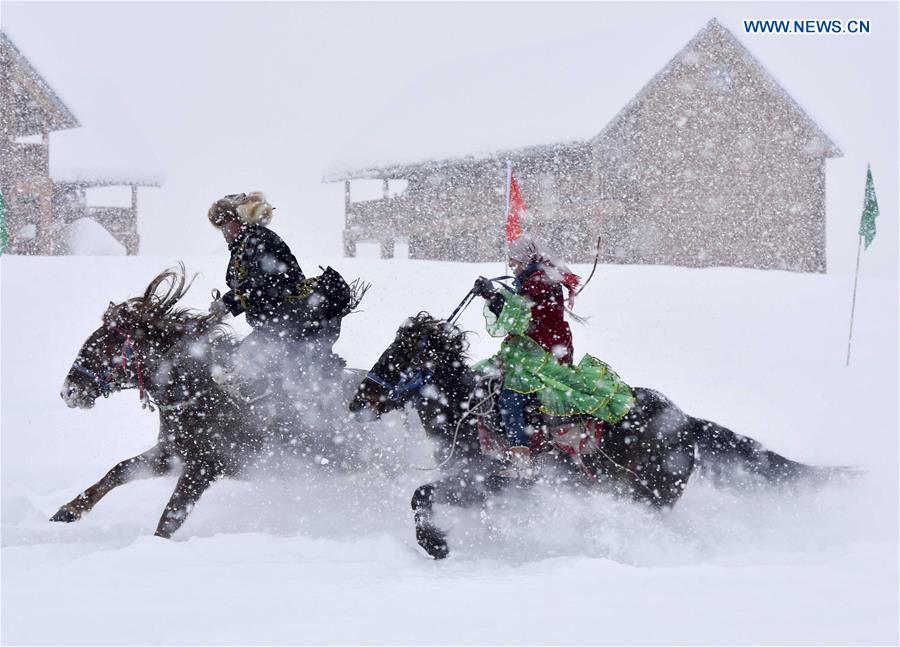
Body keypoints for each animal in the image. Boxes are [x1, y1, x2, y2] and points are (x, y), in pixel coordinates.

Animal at [54, 266, 370, 540]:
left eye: (102, 346)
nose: (68, 391)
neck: (201, 392)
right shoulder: (171, 454)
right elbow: (119, 470)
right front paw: (68, 510)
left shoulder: (203, 466)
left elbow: (171, 516)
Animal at [350, 312, 844, 556]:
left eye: (397, 357)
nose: (358, 401)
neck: (471, 412)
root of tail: (687, 422)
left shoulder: (492, 481)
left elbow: (421, 495)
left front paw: (436, 545)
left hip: (648, 496)